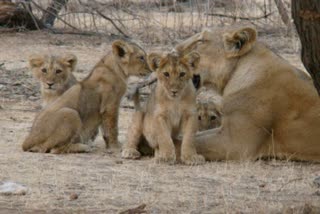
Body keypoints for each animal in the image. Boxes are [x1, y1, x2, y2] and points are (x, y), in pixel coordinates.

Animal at [175, 25, 320, 161]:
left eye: (201, 41)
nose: (172, 51)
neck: (236, 71)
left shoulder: (235, 143)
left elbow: (186, 142)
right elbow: (193, 136)